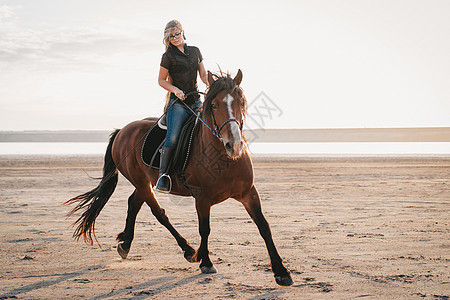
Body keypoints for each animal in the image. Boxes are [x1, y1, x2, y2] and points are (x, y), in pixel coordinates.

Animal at [65, 69, 294, 286]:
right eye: (214, 105)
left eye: (241, 102)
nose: (234, 145)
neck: (223, 157)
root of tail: (123, 130)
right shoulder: (202, 198)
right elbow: (205, 229)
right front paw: (206, 261)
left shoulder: (249, 193)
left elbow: (264, 227)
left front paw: (281, 272)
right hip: (142, 182)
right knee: (158, 212)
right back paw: (187, 249)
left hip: (143, 182)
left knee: (133, 203)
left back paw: (126, 244)